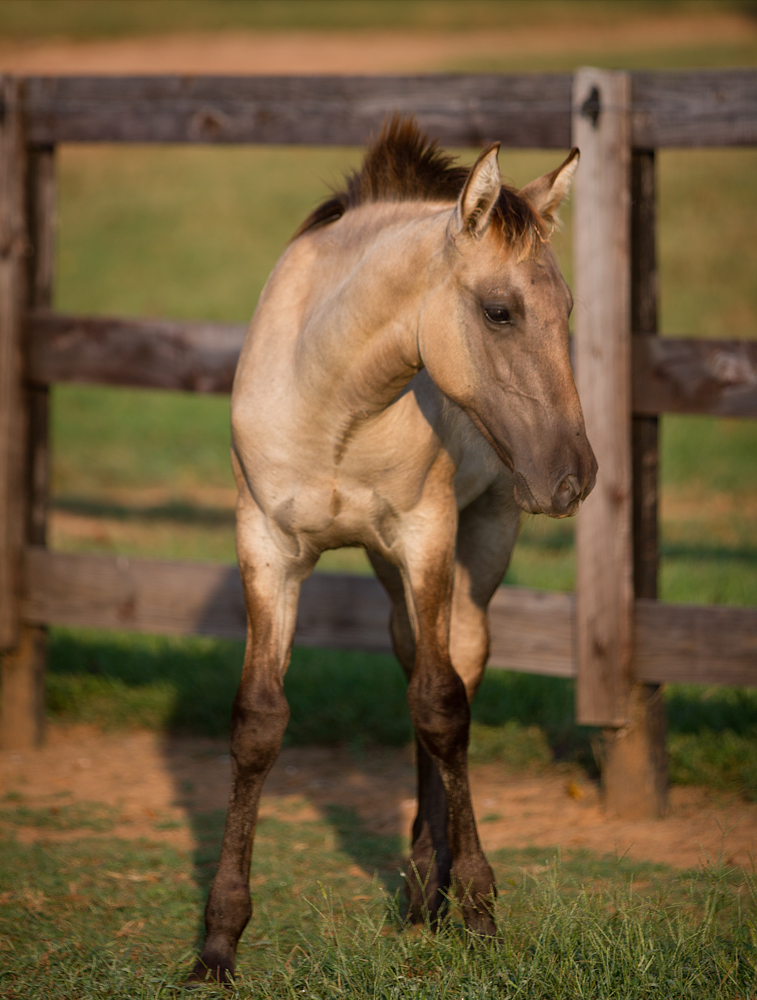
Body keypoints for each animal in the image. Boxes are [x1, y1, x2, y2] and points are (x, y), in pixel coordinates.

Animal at [186, 117, 592, 984]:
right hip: (384, 562)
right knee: (413, 663)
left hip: (484, 537)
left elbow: (444, 707)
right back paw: (416, 891)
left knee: (453, 670)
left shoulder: (425, 536)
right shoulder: (266, 547)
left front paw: (478, 910)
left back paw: (429, 890)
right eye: (499, 311)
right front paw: (218, 944)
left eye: (569, 309)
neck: (333, 400)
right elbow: (258, 720)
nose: (575, 475)